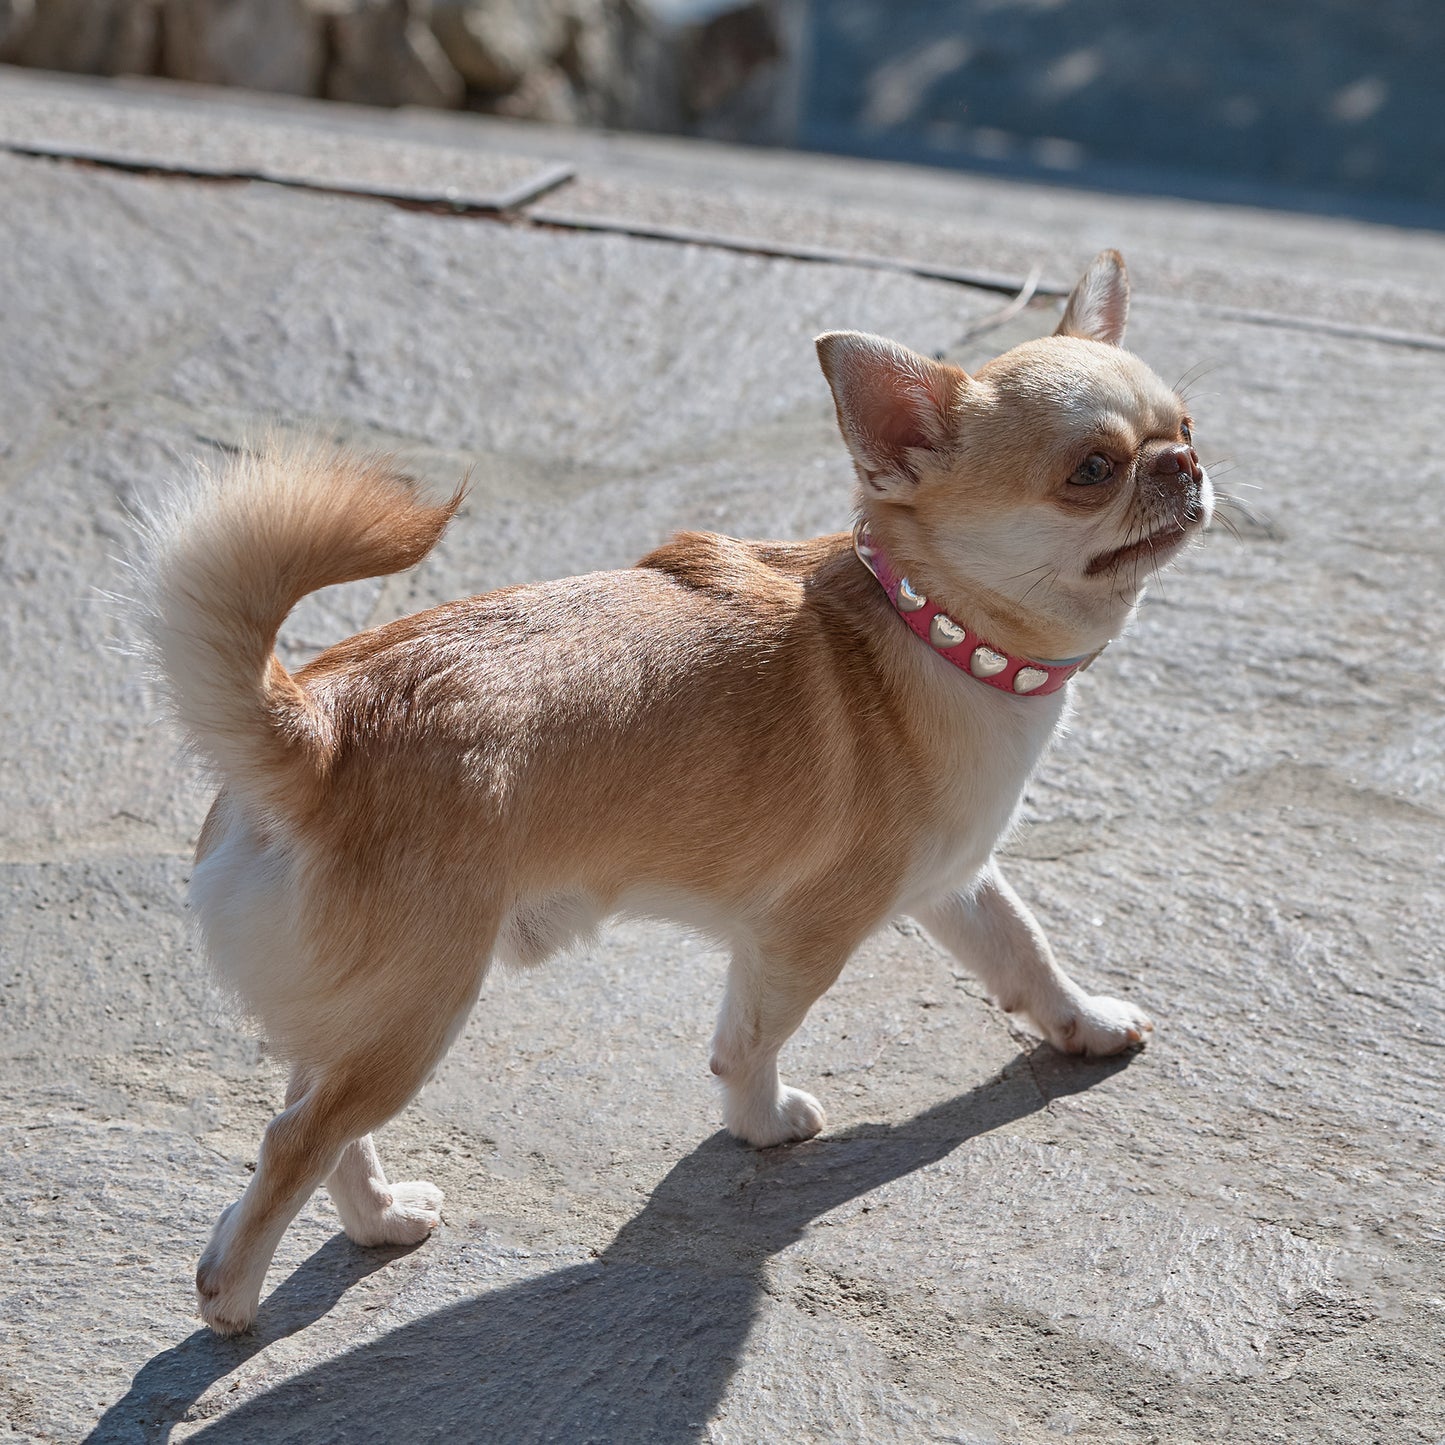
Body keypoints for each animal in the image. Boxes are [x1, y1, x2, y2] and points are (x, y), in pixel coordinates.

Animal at [143, 251, 1208, 1329]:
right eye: (1090, 470)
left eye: (1187, 425)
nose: (1182, 464)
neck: (930, 625)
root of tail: (317, 730)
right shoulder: (799, 935)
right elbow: (748, 1040)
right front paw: (762, 1123)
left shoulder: (954, 879)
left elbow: (1024, 953)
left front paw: (1084, 1023)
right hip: (416, 1012)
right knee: (291, 1141)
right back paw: (230, 1299)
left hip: (361, 1017)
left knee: (313, 1120)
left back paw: (379, 1217)